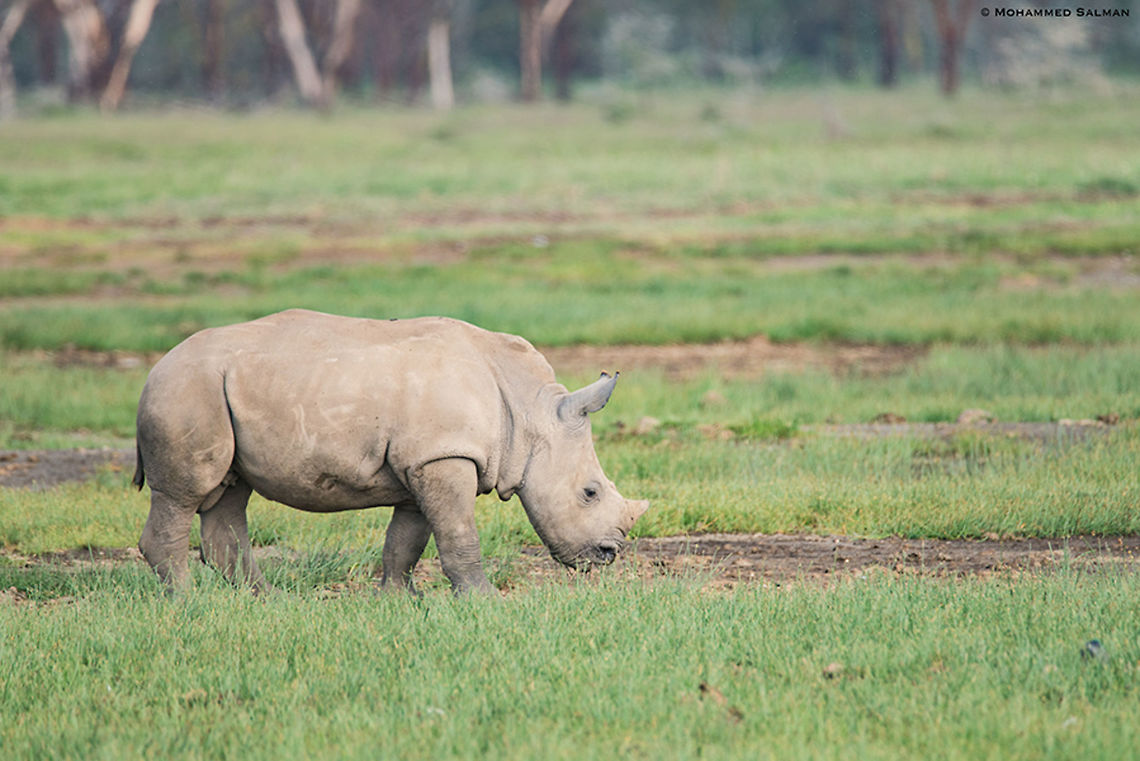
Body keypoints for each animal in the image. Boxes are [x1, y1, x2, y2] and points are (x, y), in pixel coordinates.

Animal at [133, 309, 648, 594]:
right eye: (589, 493)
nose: (608, 555)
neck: (530, 411)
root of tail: (155, 369)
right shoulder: (445, 455)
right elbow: (458, 534)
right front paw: (483, 601)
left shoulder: (424, 459)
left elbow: (407, 540)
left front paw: (399, 601)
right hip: (186, 390)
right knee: (184, 494)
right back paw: (190, 602)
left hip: (217, 391)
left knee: (230, 493)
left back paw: (267, 602)